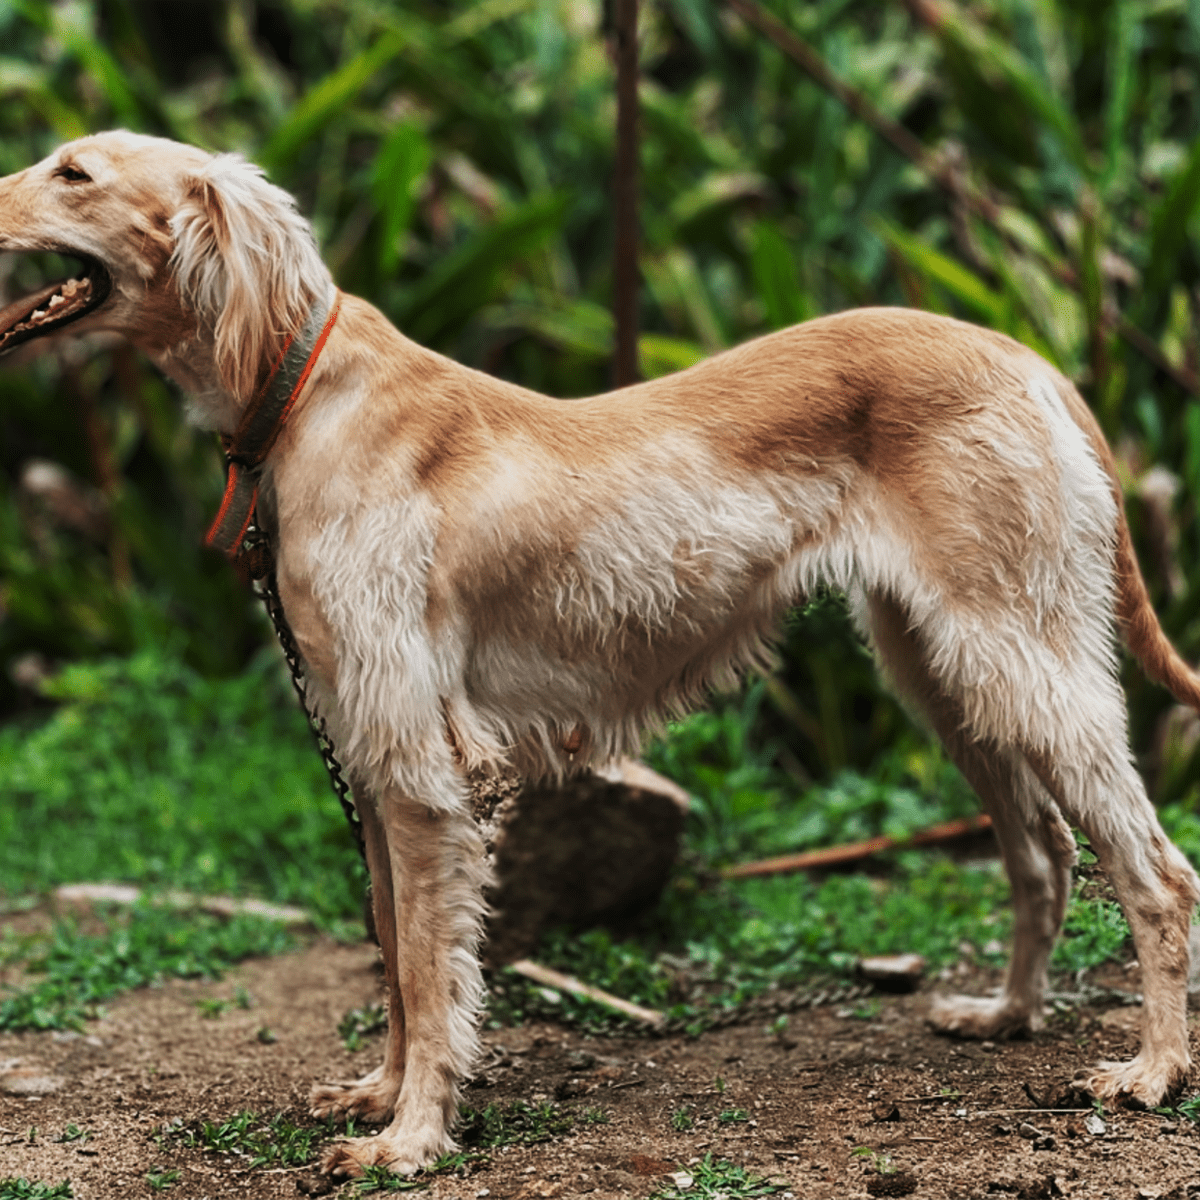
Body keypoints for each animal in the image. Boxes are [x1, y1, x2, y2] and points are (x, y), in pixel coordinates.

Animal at [2, 129, 1200, 1171]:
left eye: (73, 172)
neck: (305, 390)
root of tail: (1024, 353)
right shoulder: (369, 759)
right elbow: (393, 955)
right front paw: (385, 1097)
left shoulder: (422, 776)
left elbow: (429, 972)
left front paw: (414, 1139)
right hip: (948, 674)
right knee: (1043, 854)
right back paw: (1008, 1015)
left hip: (1018, 657)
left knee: (1158, 871)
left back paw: (1153, 1071)